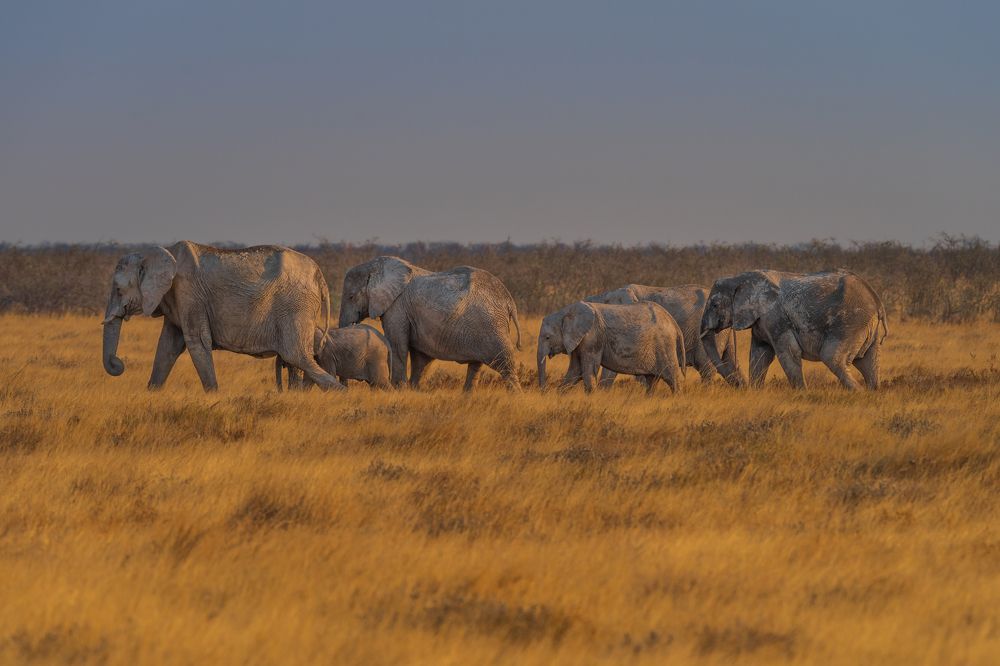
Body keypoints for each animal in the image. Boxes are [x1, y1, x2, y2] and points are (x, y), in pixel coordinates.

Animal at [102, 241, 343, 392]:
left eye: (118, 290)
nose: (118, 363)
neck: (162, 253)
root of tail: (320, 276)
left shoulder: (189, 293)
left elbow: (197, 342)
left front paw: (213, 396)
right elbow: (167, 347)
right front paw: (152, 394)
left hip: (295, 307)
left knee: (297, 355)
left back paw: (341, 393)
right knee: (297, 359)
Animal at [338, 256, 522, 390]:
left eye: (351, 297)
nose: (346, 389)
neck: (376, 266)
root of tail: (510, 302)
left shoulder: (397, 307)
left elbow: (397, 346)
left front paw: (399, 390)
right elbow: (421, 358)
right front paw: (413, 390)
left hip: (491, 326)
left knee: (505, 364)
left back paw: (516, 399)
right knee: (476, 366)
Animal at [537, 301, 686, 394]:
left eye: (547, 337)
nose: (545, 391)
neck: (566, 312)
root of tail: (673, 323)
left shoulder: (592, 337)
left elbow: (588, 370)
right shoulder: (578, 341)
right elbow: (575, 370)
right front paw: (559, 396)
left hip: (664, 345)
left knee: (671, 377)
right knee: (652, 380)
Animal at [700, 269, 888, 390]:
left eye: (715, 305)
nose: (740, 386)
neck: (738, 278)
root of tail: (878, 303)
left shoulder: (776, 318)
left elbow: (788, 352)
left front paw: (802, 393)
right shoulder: (761, 321)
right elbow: (760, 354)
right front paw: (755, 392)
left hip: (850, 323)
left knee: (832, 357)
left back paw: (858, 392)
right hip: (868, 328)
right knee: (868, 362)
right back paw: (871, 393)